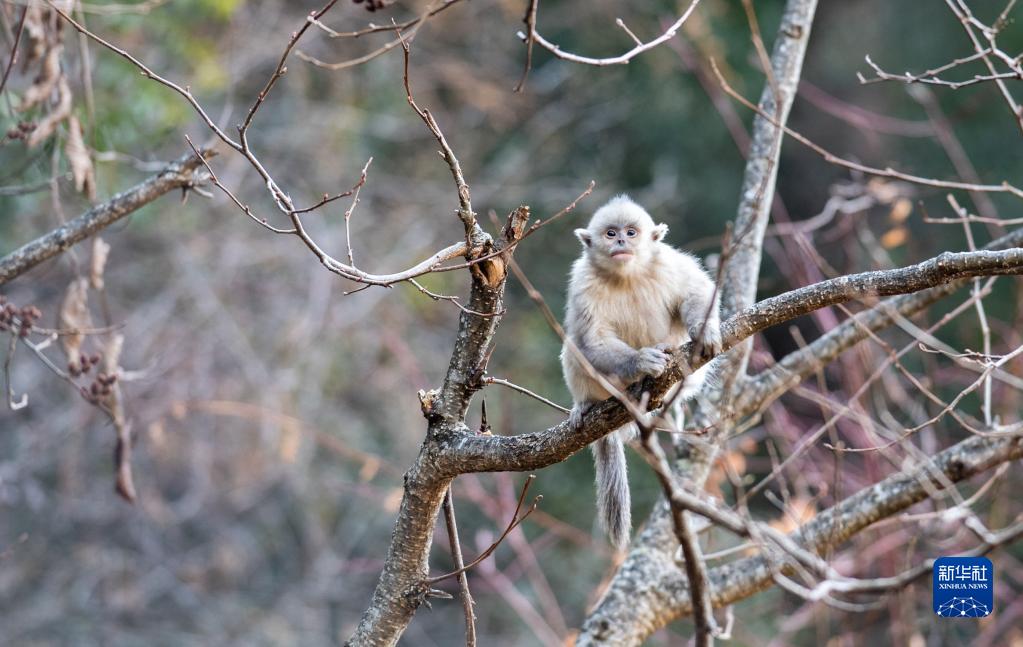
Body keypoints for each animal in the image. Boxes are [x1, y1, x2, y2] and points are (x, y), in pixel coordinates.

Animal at [560, 195, 722, 549]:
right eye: (610, 233)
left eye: (631, 232)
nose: (621, 241)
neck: (627, 275)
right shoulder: (582, 280)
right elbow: (593, 339)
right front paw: (643, 362)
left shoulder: (668, 262)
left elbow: (697, 289)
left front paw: (706, 331)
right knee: (574, 343)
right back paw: (587, 403)